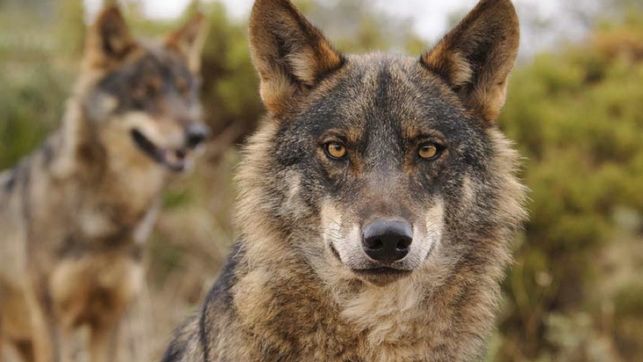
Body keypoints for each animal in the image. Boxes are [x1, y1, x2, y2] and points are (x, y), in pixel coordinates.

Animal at [0, 5, 208, 362]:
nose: (197, 136)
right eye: (144, 91)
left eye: (184, 91)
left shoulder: (110, 319)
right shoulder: (53, 324)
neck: (108, 219)